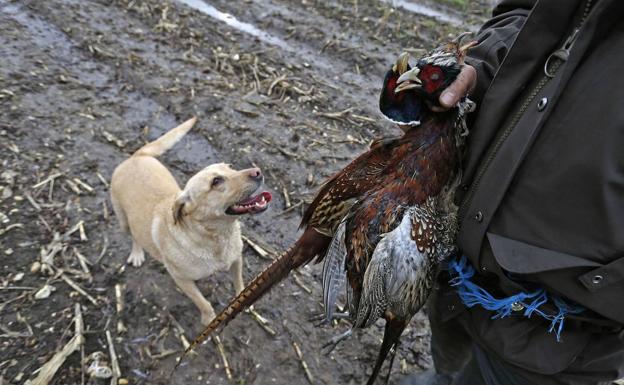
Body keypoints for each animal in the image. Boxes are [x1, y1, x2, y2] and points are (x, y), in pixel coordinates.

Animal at [111, 118, 272, 324]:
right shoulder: (181, 279)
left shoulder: (237, 260)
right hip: (123, 221)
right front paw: (209, 319)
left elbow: (240, 285)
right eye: (216, 181)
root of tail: (136, 156)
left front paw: (244, 301)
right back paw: (137, 253)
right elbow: (203, 302)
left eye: (230, 167)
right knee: (133, 236)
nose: (258, 171)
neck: (218, 237)